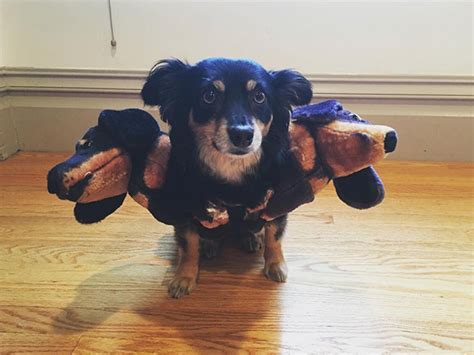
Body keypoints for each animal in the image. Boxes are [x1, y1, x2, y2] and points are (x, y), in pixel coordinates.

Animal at [141, 57, 312, 298]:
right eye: (209, 95)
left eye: (259, 97)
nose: (243, 134)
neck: (231, 166)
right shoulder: (186, 207)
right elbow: (188, 245)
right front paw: (184, 277)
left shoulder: (277, 200)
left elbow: (274, 235)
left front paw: (276, 265)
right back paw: (210, 244)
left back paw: (250, 238)